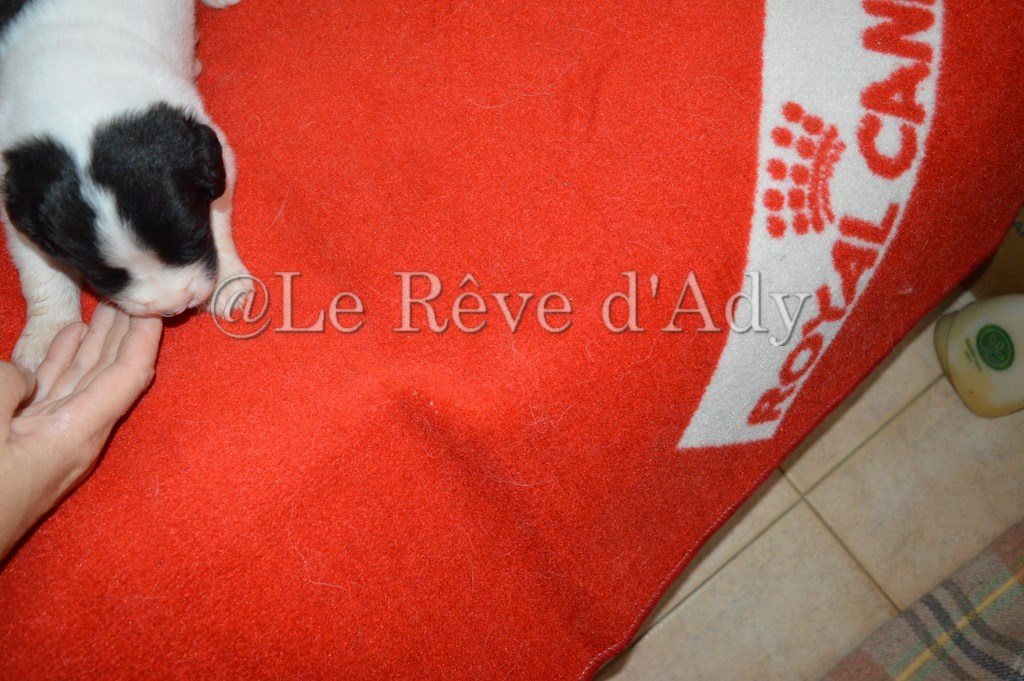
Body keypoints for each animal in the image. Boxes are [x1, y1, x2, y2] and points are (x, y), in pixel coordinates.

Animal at [0, 0, 251, 369]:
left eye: (191, 242)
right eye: (104, 274)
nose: (174, 308)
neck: (81, 100)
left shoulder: (211, 150)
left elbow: (216, 218)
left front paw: (229, 281)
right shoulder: (17, 193)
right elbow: (39, 270)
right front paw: (49, 333)